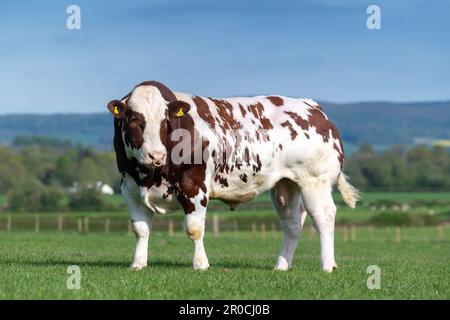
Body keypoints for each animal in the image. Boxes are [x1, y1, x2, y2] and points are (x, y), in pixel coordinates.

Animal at [107, 80, 356, 272]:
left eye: (165, 121)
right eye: (133, 119)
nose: (155, 155)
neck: (151, 175)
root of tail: (312, 107)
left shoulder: (194, 186)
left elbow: (194, 228)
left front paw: (200, 264)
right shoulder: (129, 188)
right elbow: (140, 229)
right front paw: (138, 264)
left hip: (315, 181)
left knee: (324, 217)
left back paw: (327, 265)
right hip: (286, 185)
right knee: (292, 223)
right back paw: (281, 265)